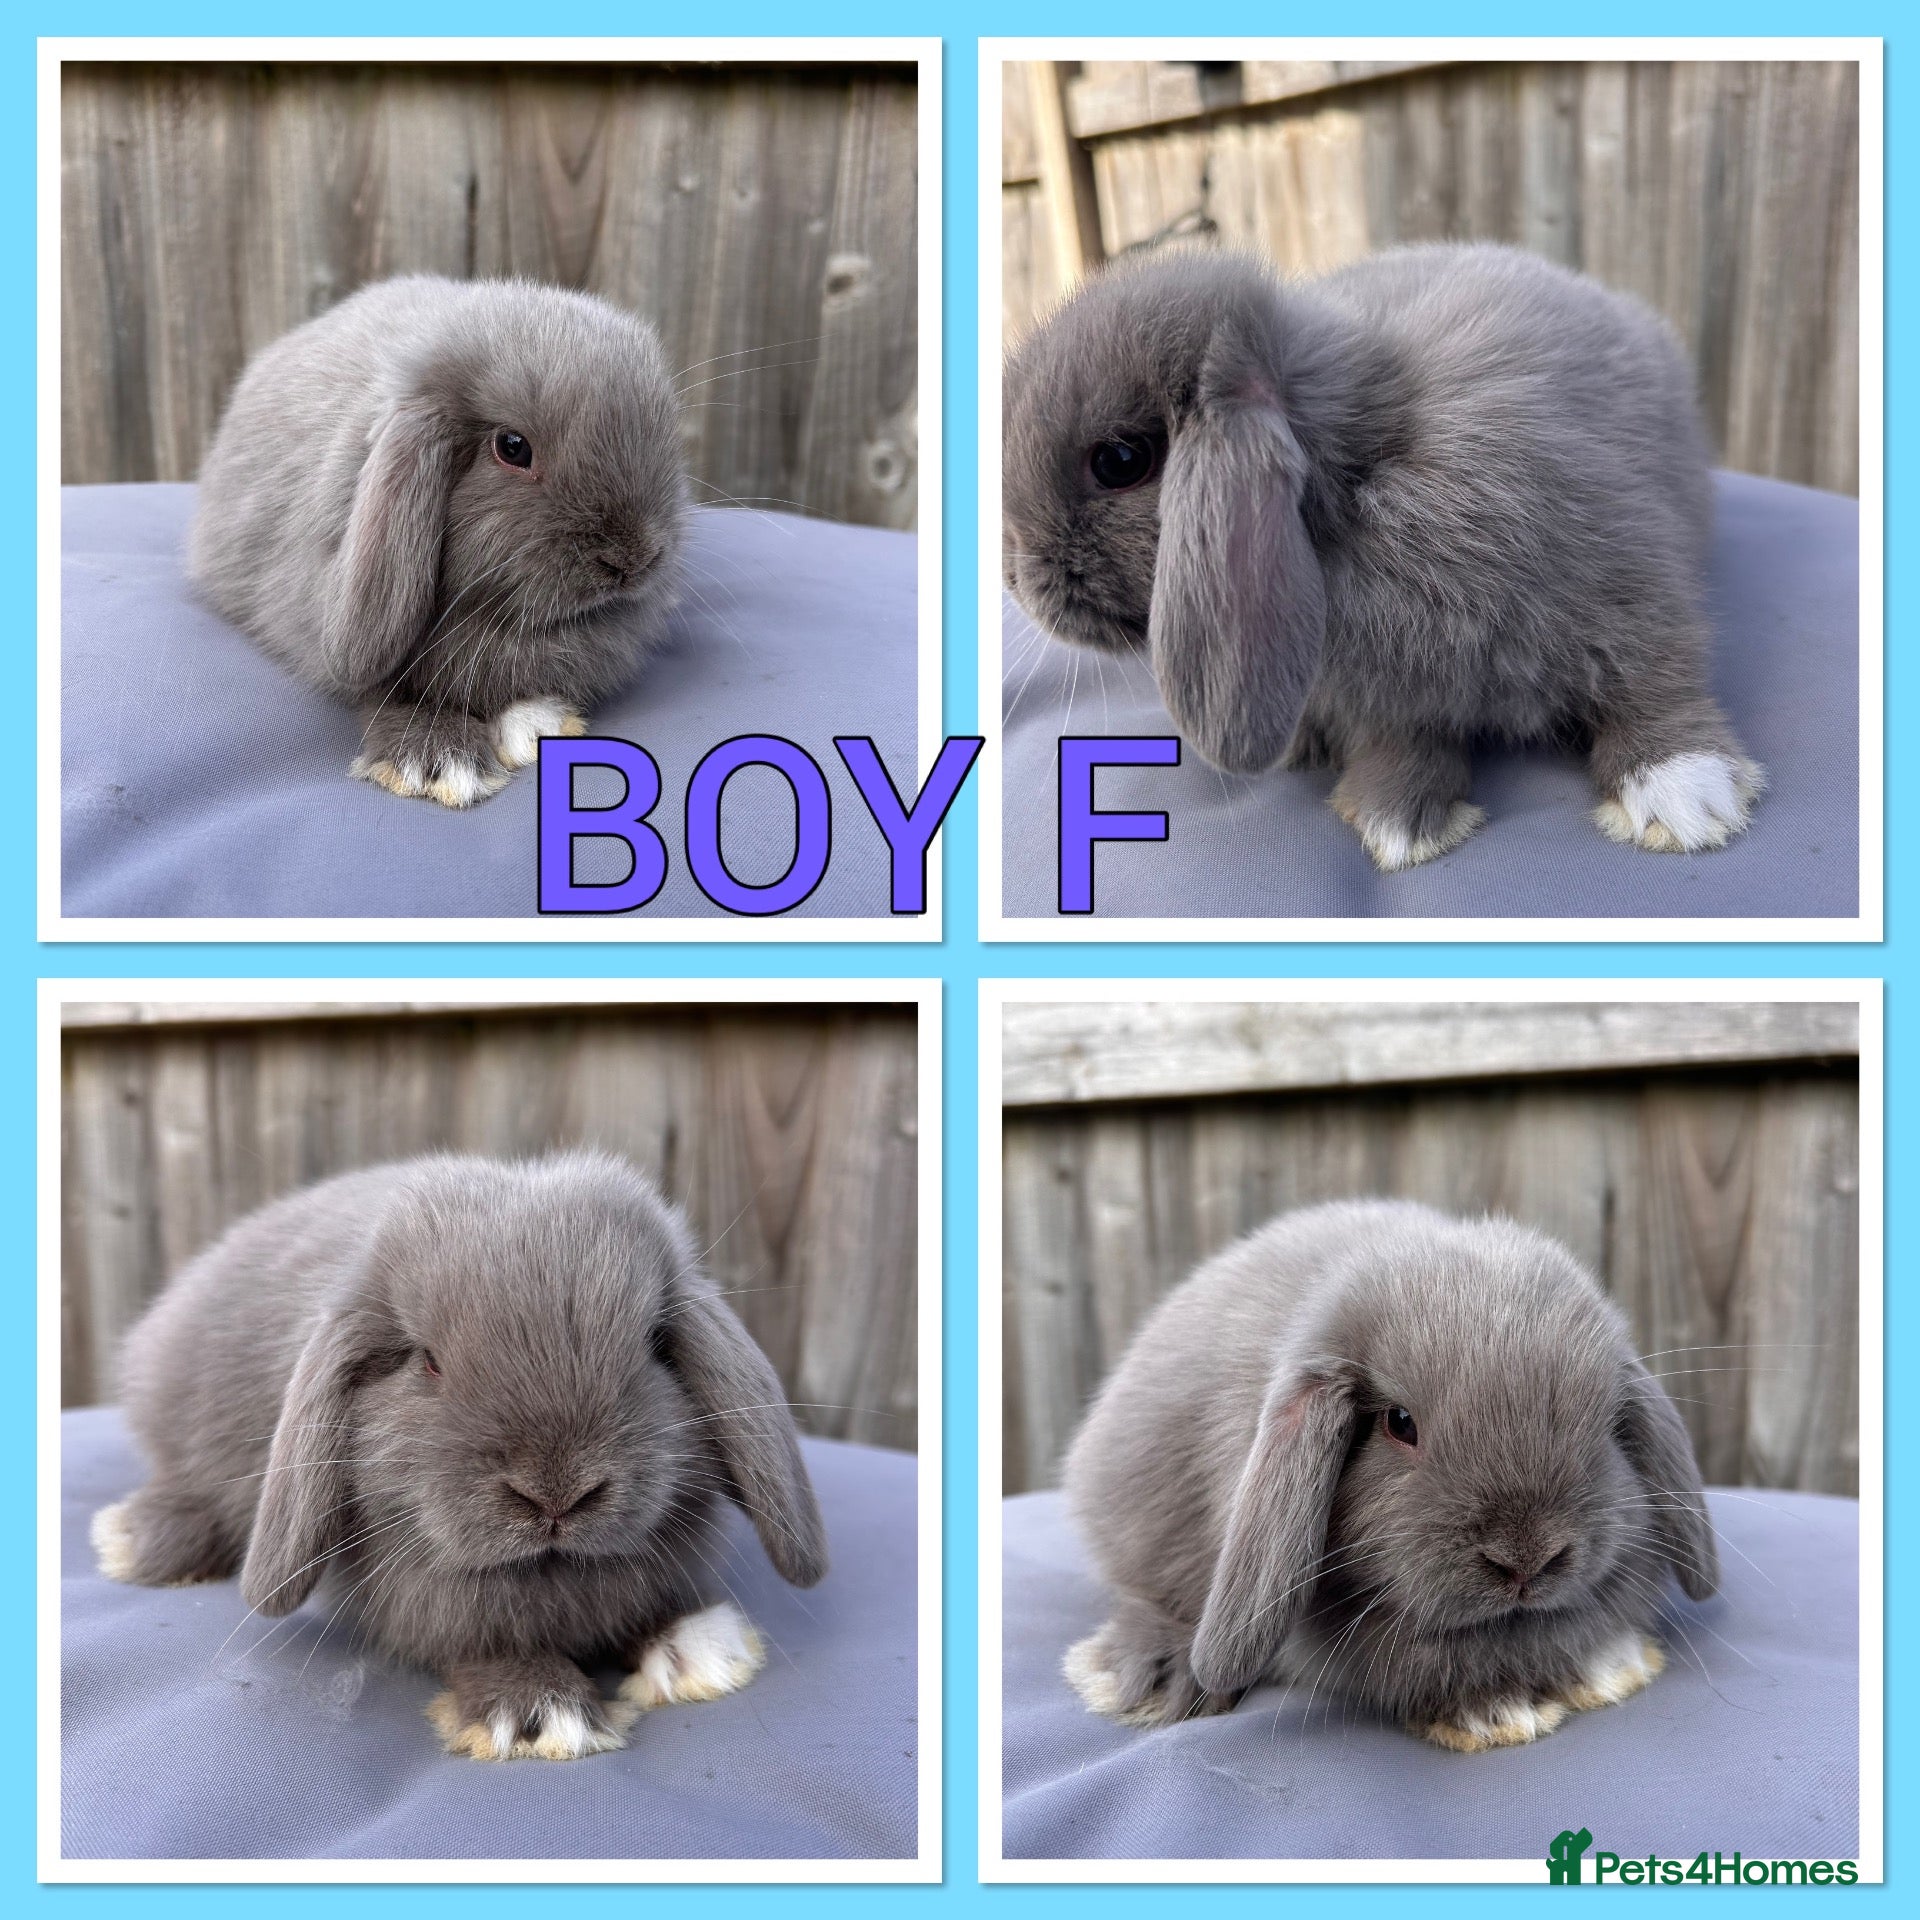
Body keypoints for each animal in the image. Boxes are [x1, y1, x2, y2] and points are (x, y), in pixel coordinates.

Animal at [90, 1150, 827, 1761]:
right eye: (428, 1361)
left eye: (654, 1344)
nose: (555, 1494)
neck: (547, 1577)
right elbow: (473, 1643)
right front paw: (537, 1715)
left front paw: (700, 1649)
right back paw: (132, 1541)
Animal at [1003, 242, 1765, 871]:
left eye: (1120, 460)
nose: (1016, 577)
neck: (1363, 478)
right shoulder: (1380, 696)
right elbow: (1401, 739)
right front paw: (1398, 821)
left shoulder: (1627, 581)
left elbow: (1654, 682)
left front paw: (1687, 797)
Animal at [1061, 1200, 1718, 1752]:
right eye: (1399, 1423)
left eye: (1605, 1424)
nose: (1527, 1560)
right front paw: (1495, 1713)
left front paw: (1613, 1667)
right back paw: (1152, 1678)